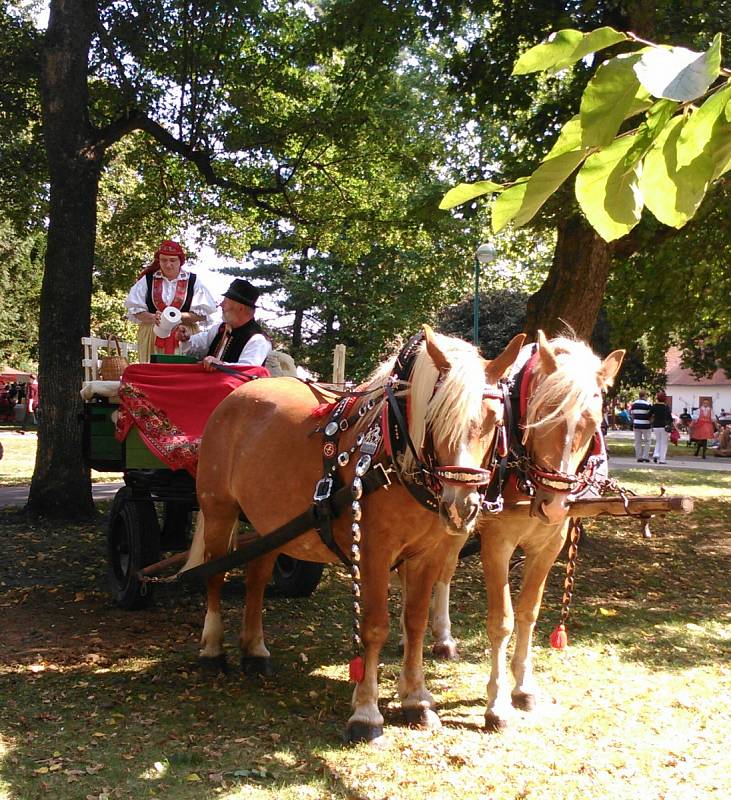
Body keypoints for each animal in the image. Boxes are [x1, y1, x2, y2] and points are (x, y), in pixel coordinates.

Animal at [183, 324, 528, 744]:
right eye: (436, 417)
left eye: (495, 420)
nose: (461, 505)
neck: (393, 451)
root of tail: (236, 396)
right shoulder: (374, 554)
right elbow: (375, 627)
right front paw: (366, 712)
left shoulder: (426, 555)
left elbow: (415, 622)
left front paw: (417, 699)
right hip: (219, 510)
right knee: (215, 575)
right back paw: (213, 649)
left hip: (270, 525)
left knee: (257, 577)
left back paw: (255, 650)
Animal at [400, 330, 624, 732]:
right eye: (541, 414)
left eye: (593, 421)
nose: (555, 504)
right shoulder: (498, 543)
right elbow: (501, 620)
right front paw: (497, 704)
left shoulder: (550, 544)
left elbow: (528, 612)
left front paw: (524, 686)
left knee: (442, 571)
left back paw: (442, 637)